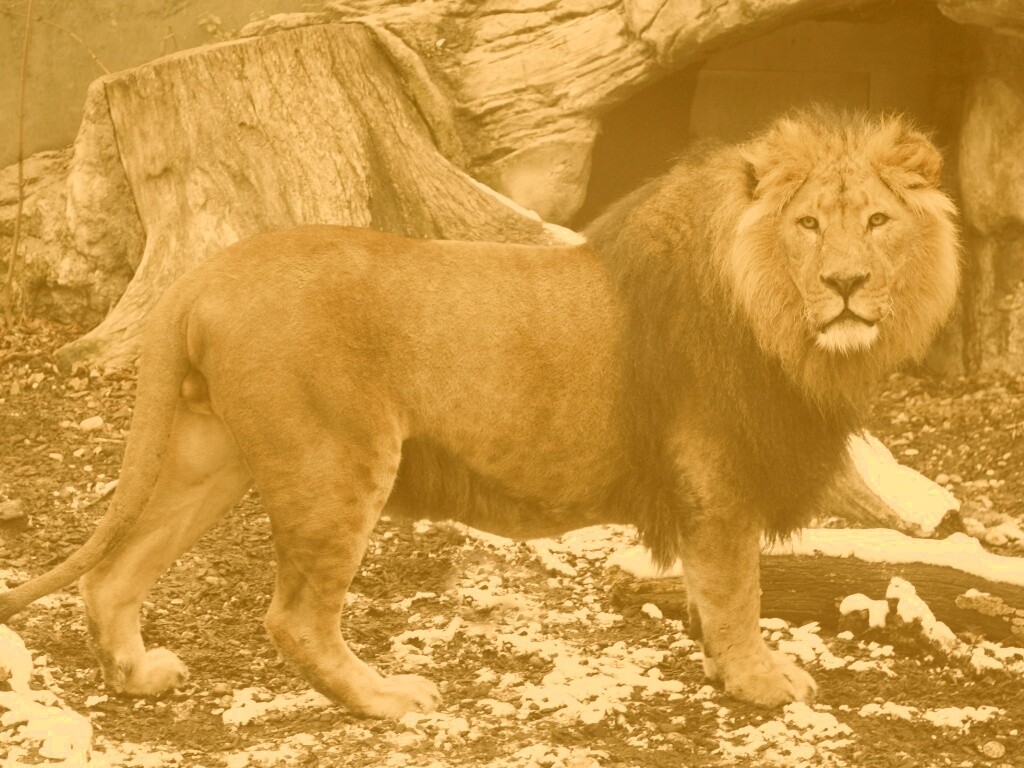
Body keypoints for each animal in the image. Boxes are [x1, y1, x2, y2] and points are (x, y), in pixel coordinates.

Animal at [0, 109, 960, 717]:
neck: (781, 321)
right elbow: (737, 592)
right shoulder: (716, 476)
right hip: (335, 460)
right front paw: (760, 682)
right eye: (809, 225)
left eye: (878, 222)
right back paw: (386, 701)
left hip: (212, 452)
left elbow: (712, 591)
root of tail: (204, 272)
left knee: (113, 573)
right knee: (295, 618)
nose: (847, 283)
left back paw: (137, 674)